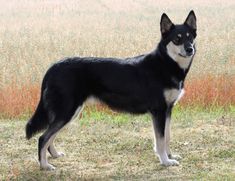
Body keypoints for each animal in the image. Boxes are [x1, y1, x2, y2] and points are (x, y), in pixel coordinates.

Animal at [25, 10, 196, 170]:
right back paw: (45, 165)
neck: (166, 63)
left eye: (190, 37)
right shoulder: (158, 111)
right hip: (67, 111)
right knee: (43, 138)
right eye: (177, 39)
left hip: (69, 113)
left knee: (50, 136)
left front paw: (170, 155)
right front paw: (165, 161)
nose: (190, 49)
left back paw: (54, 155)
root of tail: (53, 67)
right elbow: (160, 140)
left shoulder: (168, 110)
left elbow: (167, 137)